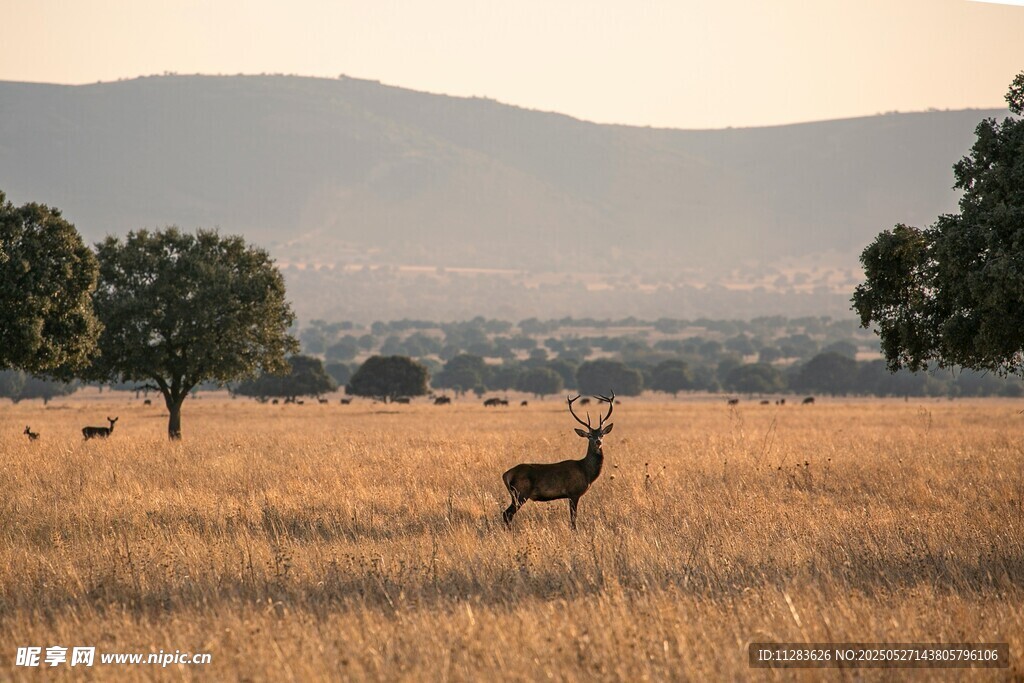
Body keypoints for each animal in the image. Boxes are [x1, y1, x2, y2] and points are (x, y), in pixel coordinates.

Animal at [501, 391, 615, 530]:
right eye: (589, 436)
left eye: (601, 434)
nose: (598, 442)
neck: (586, 471)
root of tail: (506, 474)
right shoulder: (573, 492)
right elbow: (573, 518)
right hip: (520, 493)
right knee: (507, 513)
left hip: (517, 495)